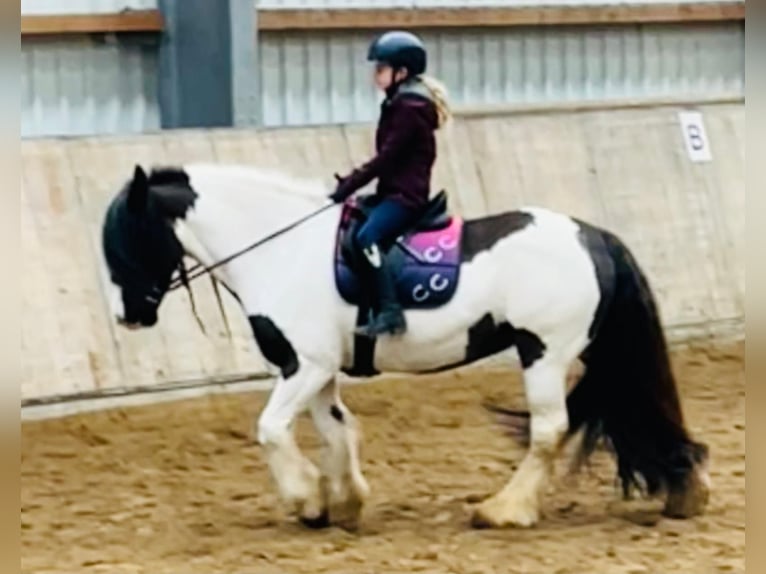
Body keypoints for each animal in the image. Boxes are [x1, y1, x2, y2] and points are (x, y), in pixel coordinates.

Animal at [100, 162, 711, 530]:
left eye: (125, 238)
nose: (127, 316)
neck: (281, 250)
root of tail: (592, 235)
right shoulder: (318, 369)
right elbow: (338, 428)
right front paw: (345, 501)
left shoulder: (304, 365)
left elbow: (271, 429)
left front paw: (306, 500)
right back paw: (686, 488)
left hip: (544, 351)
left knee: (548, 431)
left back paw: (503, 510)